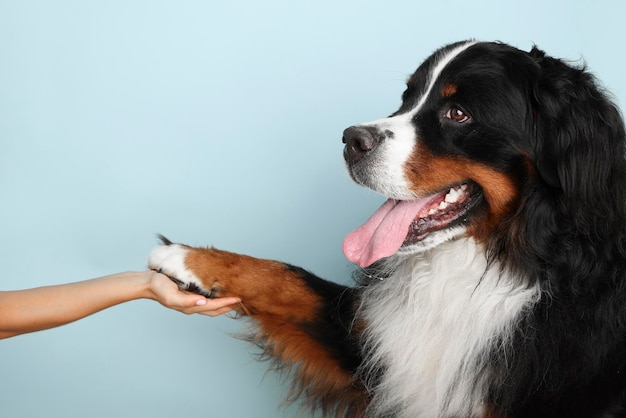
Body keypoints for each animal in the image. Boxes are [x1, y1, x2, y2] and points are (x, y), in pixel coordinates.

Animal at [145, 40, 624, 418]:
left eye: (458, 113)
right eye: (406, 98)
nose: (351, 140)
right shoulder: (375, 347)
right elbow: (290, 279)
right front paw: (190, 259)